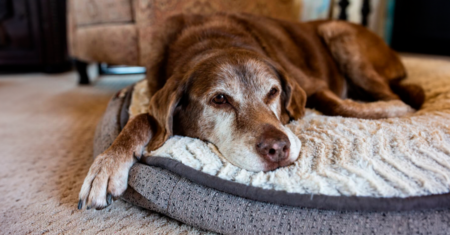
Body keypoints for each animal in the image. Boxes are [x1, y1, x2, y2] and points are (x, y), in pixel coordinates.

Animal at [75, 12, 424, 209]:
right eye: (220, 99)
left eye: (273, 92)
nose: (278, 149)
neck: (212, 40)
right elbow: (143, 118)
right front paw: (107, 165)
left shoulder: (309, 85)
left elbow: (334, 103)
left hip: (341, 36)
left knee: (394, 93)